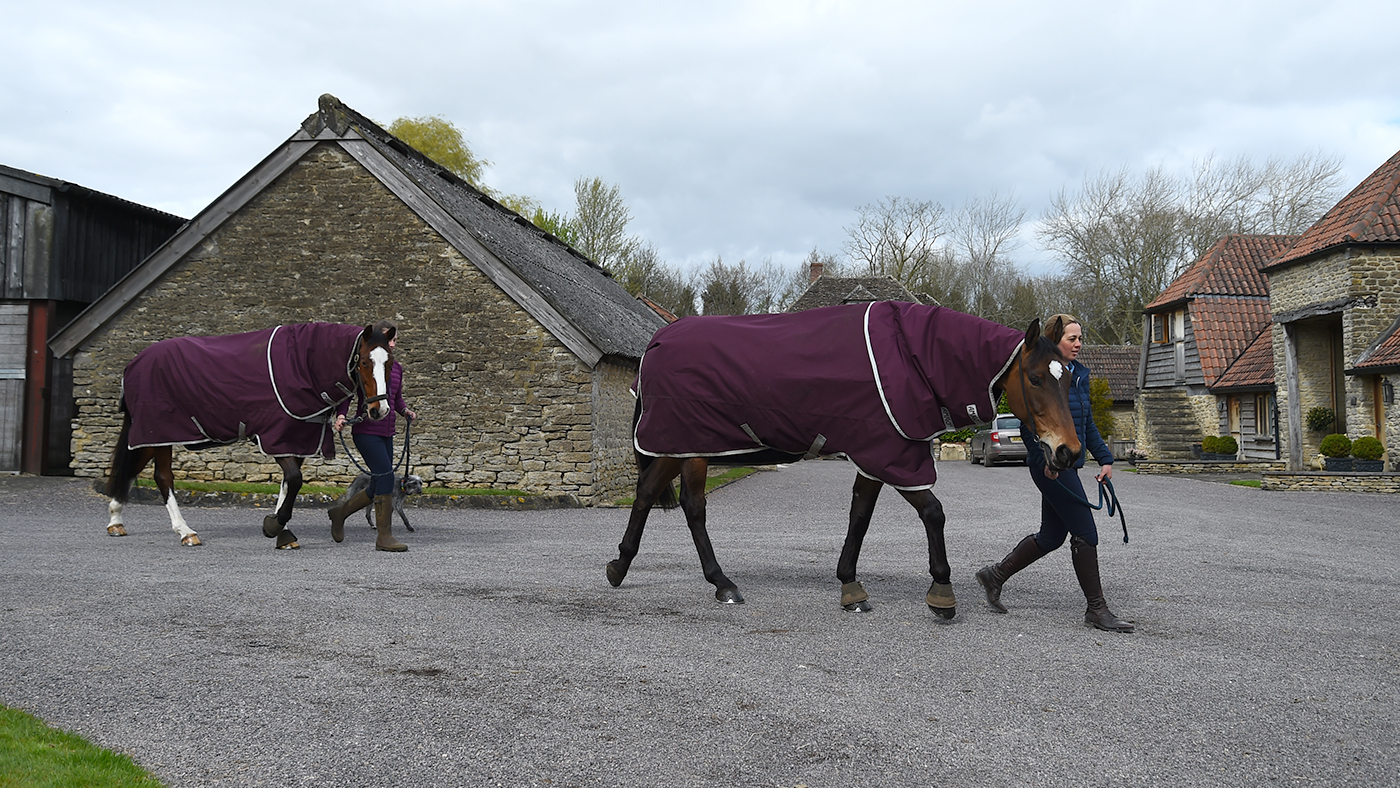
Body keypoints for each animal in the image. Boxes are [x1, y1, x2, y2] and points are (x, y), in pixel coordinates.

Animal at [103, 322, 396, 549]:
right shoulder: (274, 437)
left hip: (153, 435)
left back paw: (116, 521)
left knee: (132, 467)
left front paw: (282, 532)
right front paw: (274, 526)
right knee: (162, 477)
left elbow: (287, 485)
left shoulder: (296, 439)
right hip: (161, 431)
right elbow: (294, 480)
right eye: (366, 361)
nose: (379, 410)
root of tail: (134, 364)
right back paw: (186, 532)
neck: (302, 364)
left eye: (389, 363)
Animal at [606, 302, 1080, 618]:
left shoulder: (876, 454)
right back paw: (718, 582)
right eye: (1036, 378)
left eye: (1069, 377)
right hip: (688, 443)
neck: (912, 355)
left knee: (655, 495)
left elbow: (860, 517)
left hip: (683, 445)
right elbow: (933, 512)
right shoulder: (890, 452)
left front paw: (850, 585)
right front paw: (941, 592)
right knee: (685, 505)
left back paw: (623, 568)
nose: (1069, 451)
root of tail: (656, 342)